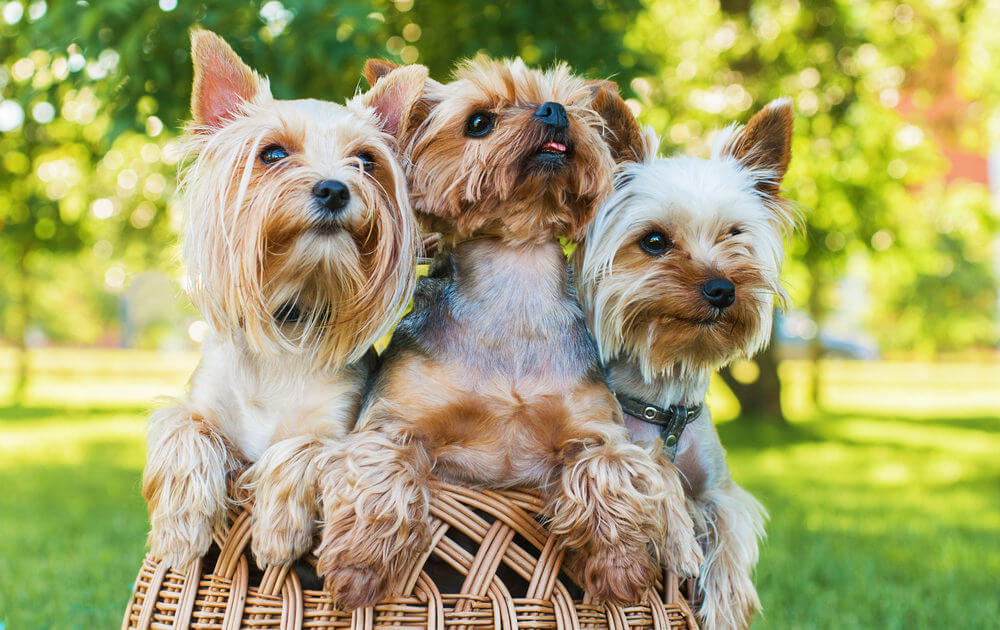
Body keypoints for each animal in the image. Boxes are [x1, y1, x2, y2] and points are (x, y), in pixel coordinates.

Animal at [141, 28, 422, 572]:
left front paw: (275, 532)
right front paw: (180, 531)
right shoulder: (202, 408)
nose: (334, 189)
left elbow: (303, 447)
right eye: (271, 154)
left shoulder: (340, 430)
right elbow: (183, 428)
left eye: (365, 160)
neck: (289, 318)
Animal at [314, 58, 704, 612]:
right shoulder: (391, 423)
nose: (555, 111)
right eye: (479, 121)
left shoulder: (599, 430)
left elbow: (609, 469)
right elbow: (381, 471)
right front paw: (358, 566)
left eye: (570, 103)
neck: (516, 275)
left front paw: (622, 566)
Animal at [580, 99, 796, 630]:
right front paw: (679, 540)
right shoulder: (611, 445)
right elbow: (651, 470)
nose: (723, 289)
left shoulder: (721, 490)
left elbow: (727, 534)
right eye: (654, 241)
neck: (667, 405)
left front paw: (725, 602)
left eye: (734, 234)